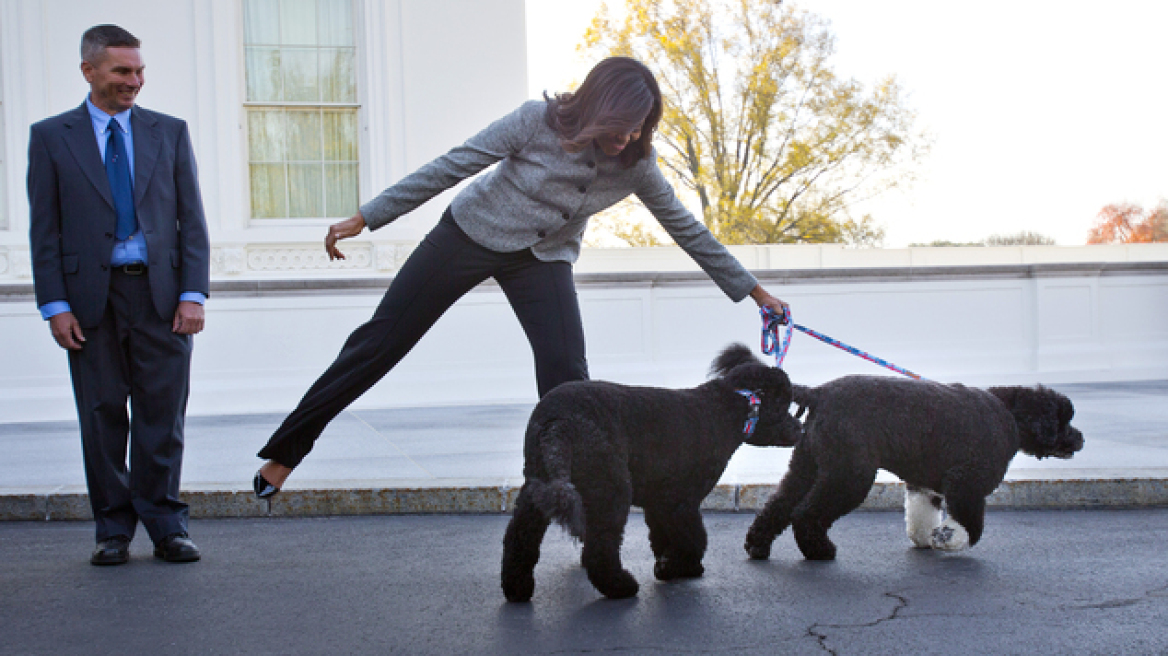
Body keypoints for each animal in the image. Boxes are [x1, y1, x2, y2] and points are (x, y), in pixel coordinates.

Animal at [502, 343, 803, 597]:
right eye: (784, 405)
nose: (799, 429)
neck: (727, 408)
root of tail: (558, 422)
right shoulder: (680, 501)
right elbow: (694, 539)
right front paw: (680, 566)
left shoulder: (658, 501)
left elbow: (662, 537)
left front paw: (670, 566)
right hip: (611, 490)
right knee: (599, 550)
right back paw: (620, 586)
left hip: (537, 486)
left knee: (519, 538)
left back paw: (517, 589)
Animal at [742, 375, 1079, 560]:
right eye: (1064, 419)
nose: (1080, 438)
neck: (1009, 414)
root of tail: (819, 393)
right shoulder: (967, 483)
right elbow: (971, 526)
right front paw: (949, 539)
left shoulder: (924, 485)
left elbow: (921, 516)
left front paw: (927, 538)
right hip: (849, 474)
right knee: (804, 513)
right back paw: (819, 552)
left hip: (807, 466)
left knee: (779, 505)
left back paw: (757, 546)